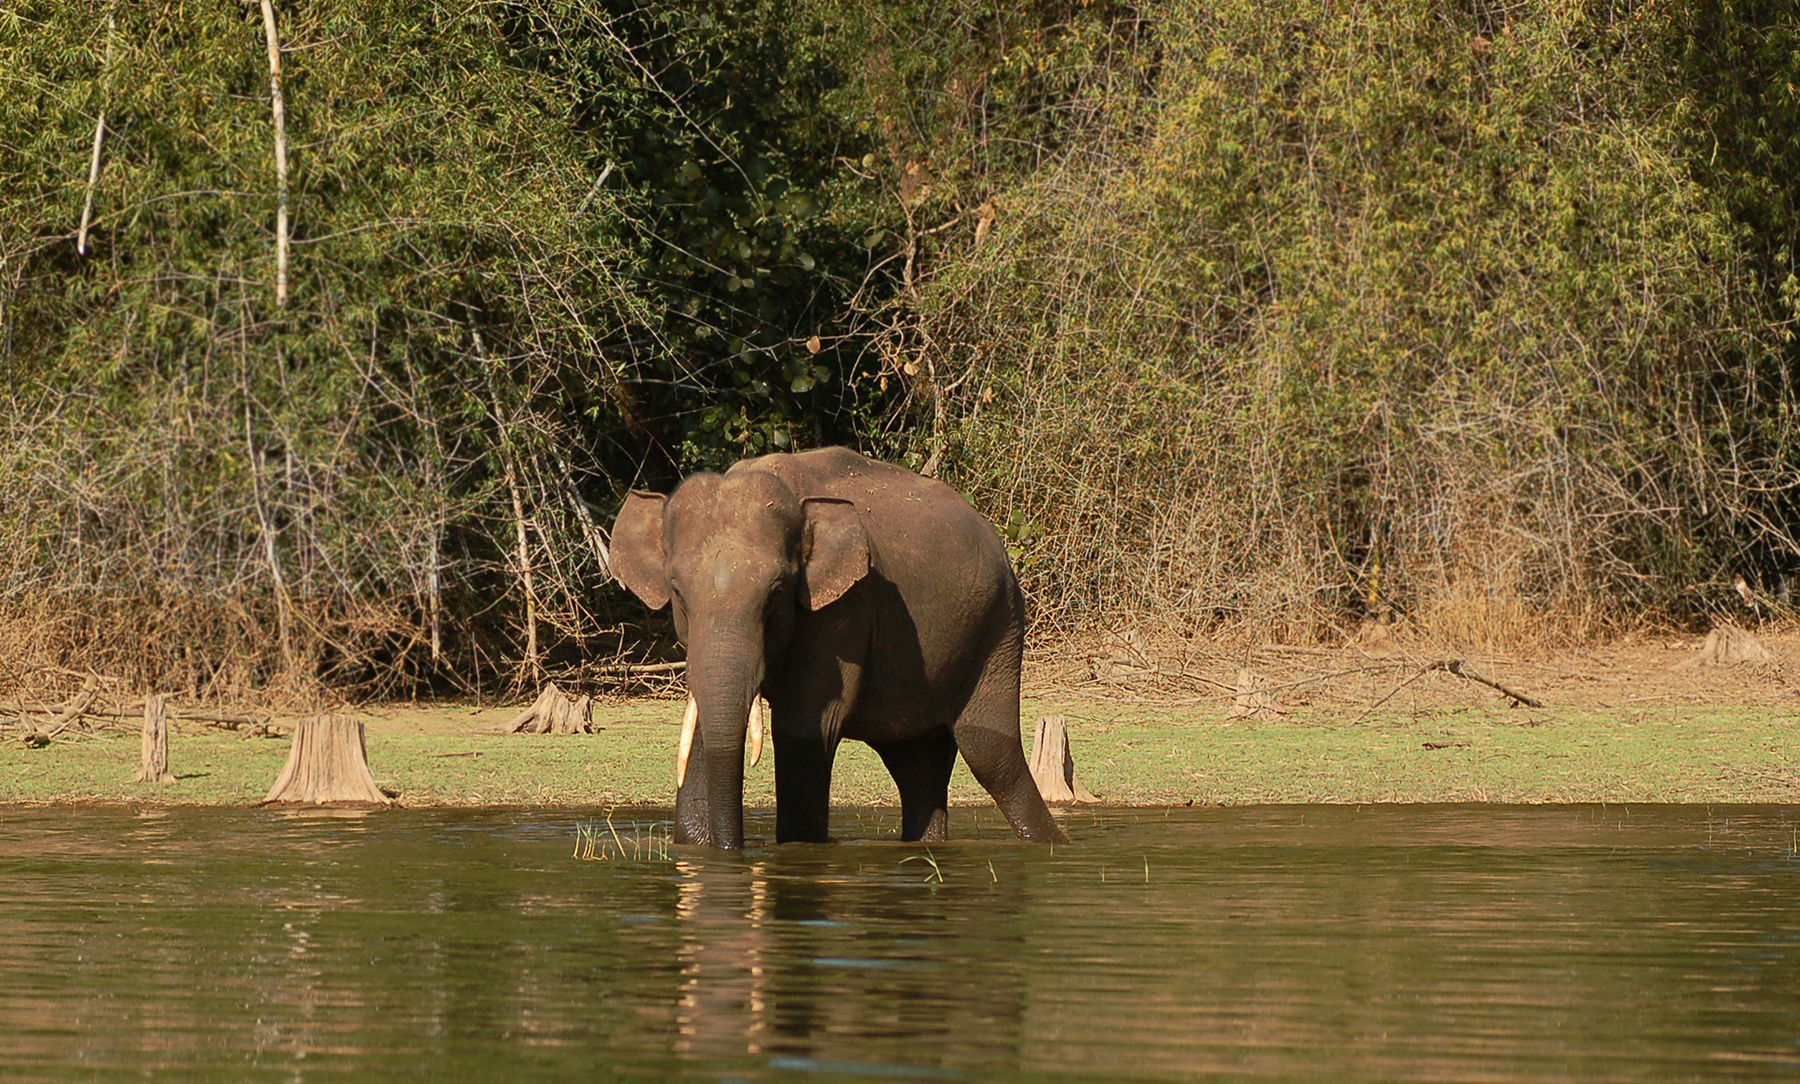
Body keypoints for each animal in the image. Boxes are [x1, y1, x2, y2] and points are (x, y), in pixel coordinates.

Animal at [612, 442, 1065, 849]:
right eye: (677, 592)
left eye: (776, 593)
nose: (734, 847)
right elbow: (704, 729)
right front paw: (697, 843)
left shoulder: (846, 609)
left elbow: (804, 727)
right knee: (918, 766)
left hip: (999, 628)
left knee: (990, 754)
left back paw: (1051, 844)